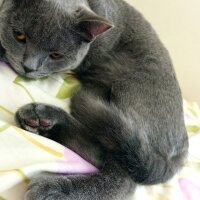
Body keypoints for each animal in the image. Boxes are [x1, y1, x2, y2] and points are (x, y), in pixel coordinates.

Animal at [0, 0, 188, 200]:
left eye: (56, 55)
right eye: (19, 35)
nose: (29, 67)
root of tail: (180, 153)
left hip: (131, 88)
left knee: (123, 177)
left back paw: (54, 189)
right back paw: (42, 122)